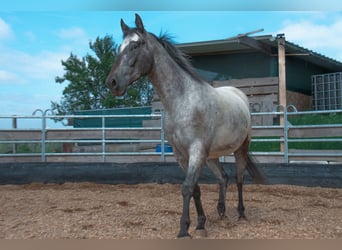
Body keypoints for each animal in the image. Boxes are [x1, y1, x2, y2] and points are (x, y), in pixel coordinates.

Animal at [105, 13, 266, 238]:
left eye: (135, 45)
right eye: (119, 48)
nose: (112, 83)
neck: (182, 101)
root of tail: (239, 94)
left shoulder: (196, 152)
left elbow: (187, 187)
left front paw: (184, 230)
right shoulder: (181, 155)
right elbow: (195, 188)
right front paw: (200, 223)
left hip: (241, 148)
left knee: (239, 177)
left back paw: (241, 213)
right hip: (212, 156)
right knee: (223, 178)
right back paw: (221, 211)